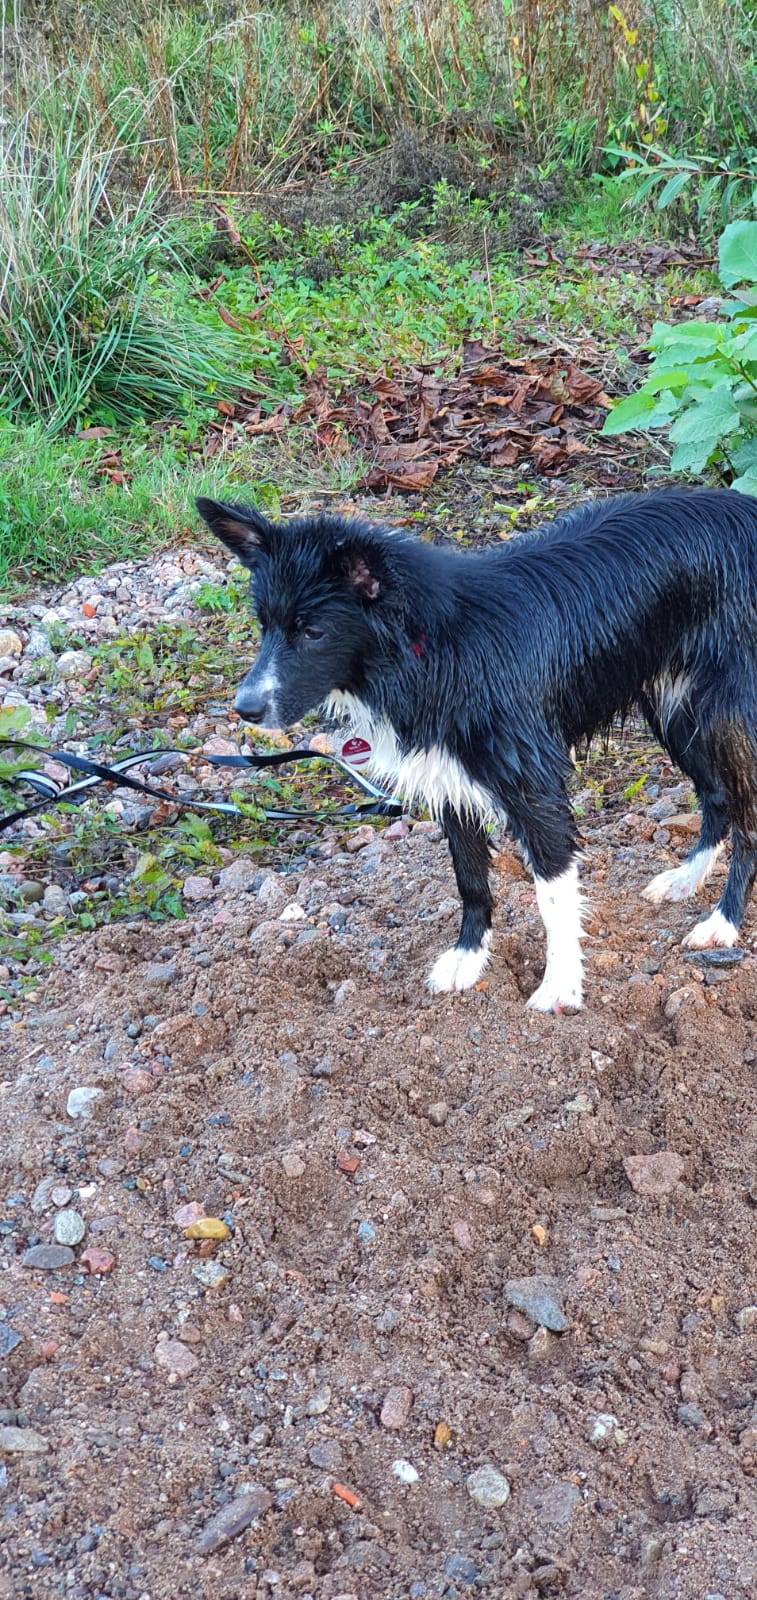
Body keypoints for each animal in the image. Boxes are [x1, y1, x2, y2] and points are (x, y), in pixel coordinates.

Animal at [196, 489, 757, 1011]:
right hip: (674, 707)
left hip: (726, 714)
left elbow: (553, 894)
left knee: (746, 819)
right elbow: (469, 878)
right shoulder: (445, 773)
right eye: (264, 625)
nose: (244, 709)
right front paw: (468, 958)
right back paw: (687, 878)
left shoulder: (533, 784)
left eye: (313, 631)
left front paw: (560, 984)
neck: (433, 648)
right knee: (717, 798)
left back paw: (723, 922)